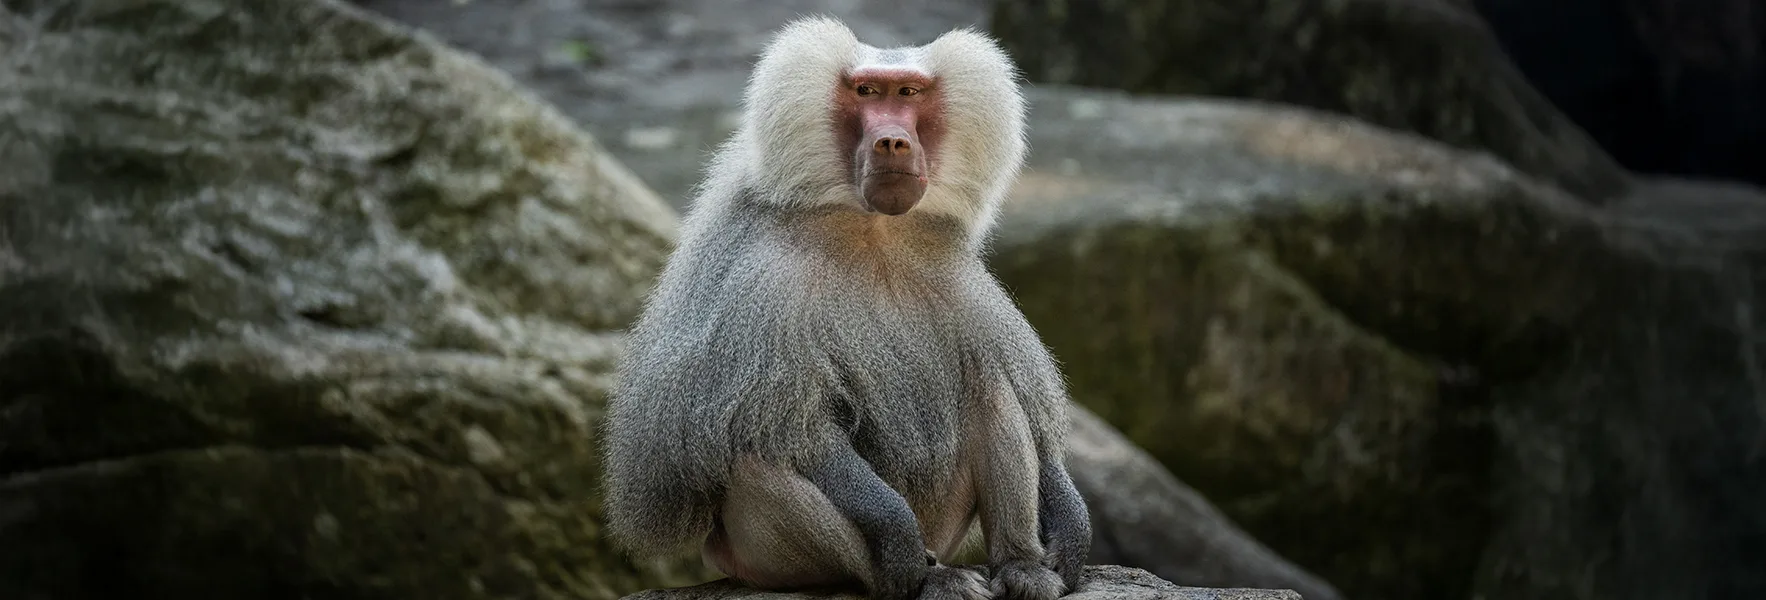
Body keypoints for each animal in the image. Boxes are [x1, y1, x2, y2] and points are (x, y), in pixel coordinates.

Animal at [600, 16, 1091, 600]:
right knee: (757, 457)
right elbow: (793, 427)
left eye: (908, 93)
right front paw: (896, 538)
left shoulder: (954, 273)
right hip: (759, 556)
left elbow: (1023, 407)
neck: (871, 228)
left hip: (943, 522)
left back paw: (1021, 567)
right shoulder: (763, 281)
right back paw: (923, 575)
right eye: (866, 92)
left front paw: (1069, 523)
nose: (892, 141)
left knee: (988, 381)